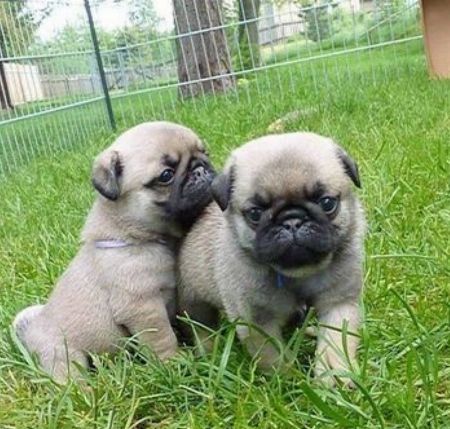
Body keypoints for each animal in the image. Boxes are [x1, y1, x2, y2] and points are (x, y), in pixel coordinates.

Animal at [11, 120, 214, 382]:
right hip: (64, 355)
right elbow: (162, 337)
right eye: (166, 176)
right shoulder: (143, 307)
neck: (136, 237)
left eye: (205, 152)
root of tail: (31, 331)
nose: (202, 168)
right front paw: (174, 363)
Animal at [178, 131, 364, 384]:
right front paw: (288, 380)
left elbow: (336, 342)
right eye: (255, 214)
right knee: (201, 328)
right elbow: (273, 356)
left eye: (327, 203)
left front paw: (333, 374)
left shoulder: (339, 303)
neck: (296, 274)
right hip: (194, 304)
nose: (292, 220)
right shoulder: (256, 323)